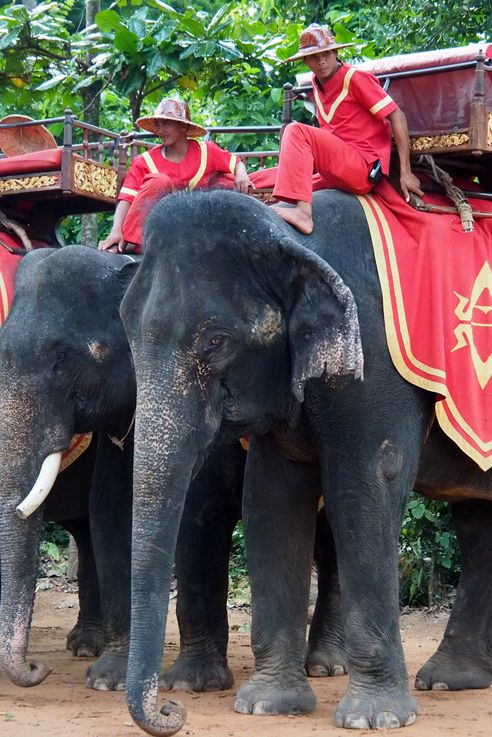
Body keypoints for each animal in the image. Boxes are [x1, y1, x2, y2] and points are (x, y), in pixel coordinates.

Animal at [120, 191, 492, 736]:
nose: (171, 710)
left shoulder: (376, 364)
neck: (290, 237)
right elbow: (271, 502)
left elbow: (364, 489)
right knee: (477, 524)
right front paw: (267, 705)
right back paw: (450, 679)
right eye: (128, 331)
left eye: (215, 341)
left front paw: (374, 717)